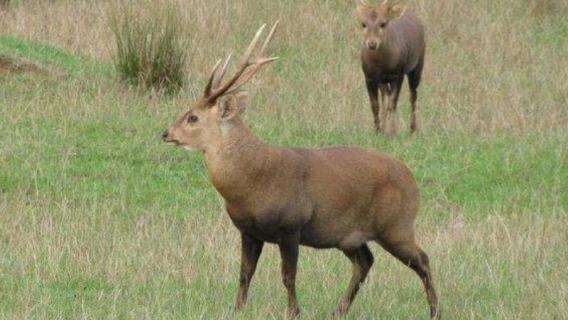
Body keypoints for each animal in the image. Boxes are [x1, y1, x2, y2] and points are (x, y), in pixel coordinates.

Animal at [162, 21, 438, 318]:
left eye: (192, 117)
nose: (166, 133)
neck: (252, 184)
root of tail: (412, 180)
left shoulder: (291, 225)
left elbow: (288, 276)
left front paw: (293, 311)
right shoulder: (248, 230)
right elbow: (245, 274)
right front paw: (237, 309)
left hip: (396, 224)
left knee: (422, 259)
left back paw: (435, 310)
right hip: (349, 235)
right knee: (365, 261)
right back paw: (338, 310)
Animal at [358, 0, 424, 135]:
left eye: (383, 23)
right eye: (363, 24)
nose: (372, 43)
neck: (381, 64)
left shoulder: (397, 75)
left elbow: (393, 103)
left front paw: (393, 131)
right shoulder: (369, 77)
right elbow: (375, 104)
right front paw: (378, 131)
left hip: (418, 65)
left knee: (413, 95)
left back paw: (412, 129)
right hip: (382, 81)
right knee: (385, 96)